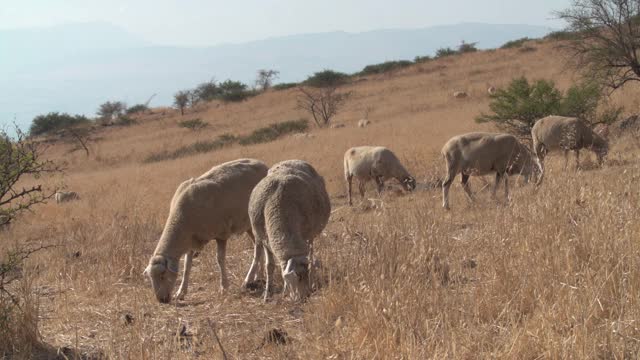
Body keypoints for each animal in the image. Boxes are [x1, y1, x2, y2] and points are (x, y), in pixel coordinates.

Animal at [142, 159, 268, 302]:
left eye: (163, 275)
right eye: (150, 278)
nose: (162, 301)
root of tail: (262, 164)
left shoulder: (221, 233)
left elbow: (220, 260)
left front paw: (224, 287)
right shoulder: (191, 239)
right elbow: (187, 266)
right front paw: (181, 292)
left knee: (258, 247)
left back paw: (248, 279)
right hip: (248, 225)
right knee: (259, 245)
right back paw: (259, 275)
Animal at [241, 160, 330, 300]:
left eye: (304, 276)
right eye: (298, 278)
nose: (305, 297)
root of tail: (291, 160)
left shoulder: (305, 236)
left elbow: (309, 260)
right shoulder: (265, 239)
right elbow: (269, 266)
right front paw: (267, 294)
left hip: (311, 235)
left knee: (311, 253)